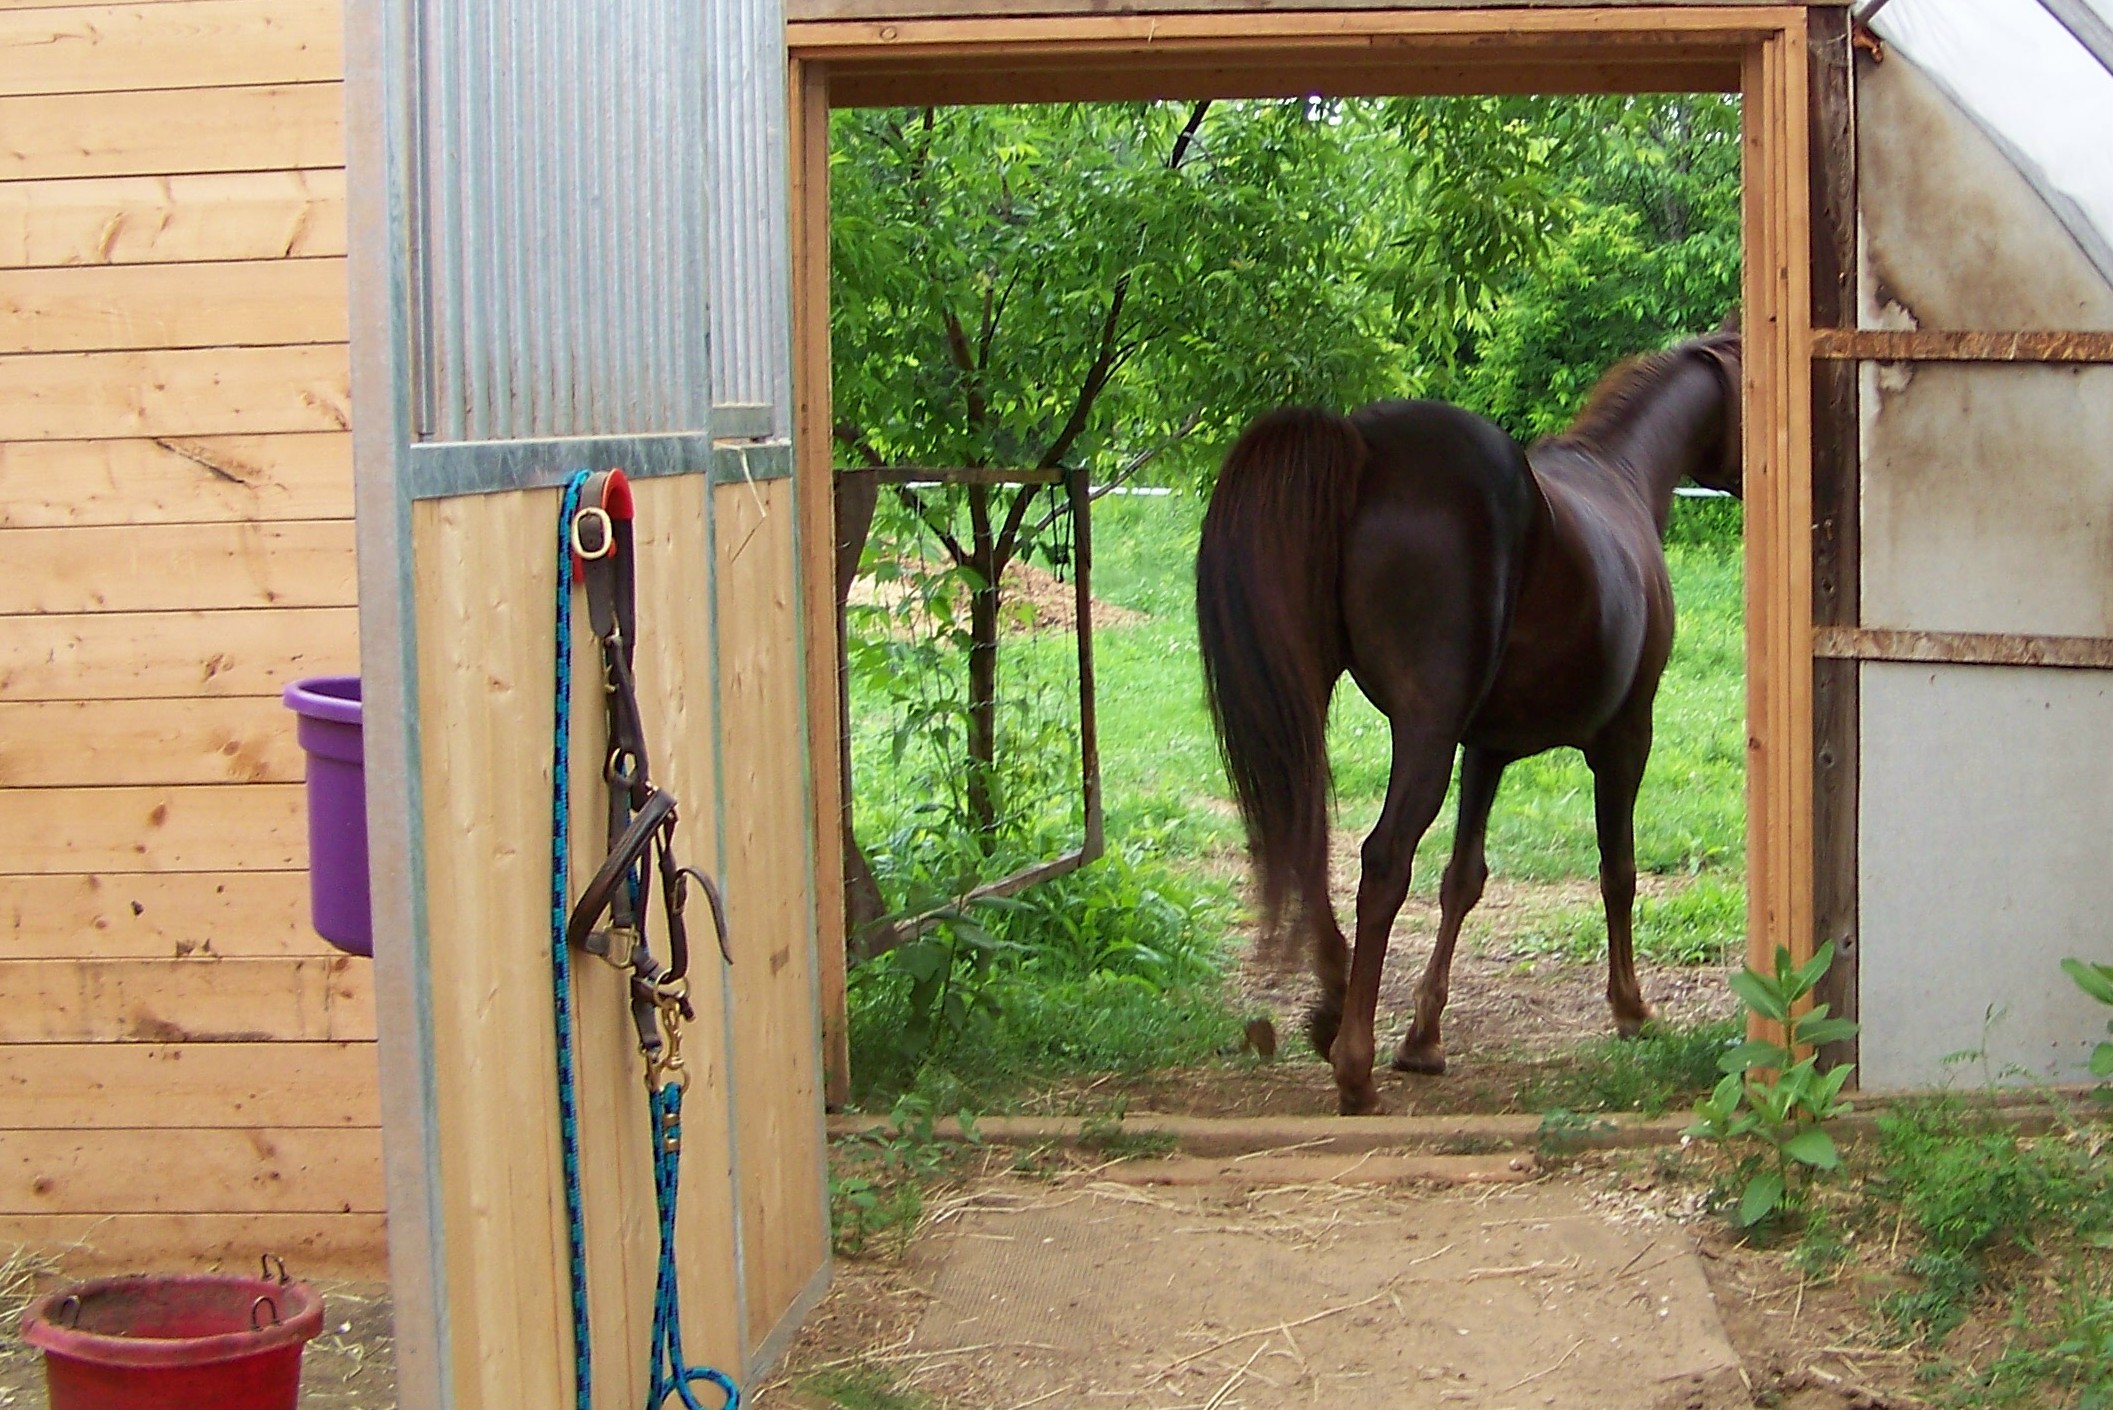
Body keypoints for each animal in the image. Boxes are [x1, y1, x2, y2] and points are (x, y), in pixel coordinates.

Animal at [1200, 331, 1741, 1116]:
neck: (1618, 477)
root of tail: (1360, 443)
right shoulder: (1624, 737)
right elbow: (1618, 872)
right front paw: (1631, 1009)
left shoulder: (1485, 747)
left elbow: (1463, 877)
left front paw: (1424, 1037)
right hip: (1423, 731)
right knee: (1382, 861)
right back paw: (1354, 1068)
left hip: (1309, 701)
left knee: (1306, 842)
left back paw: (1331, 1009)